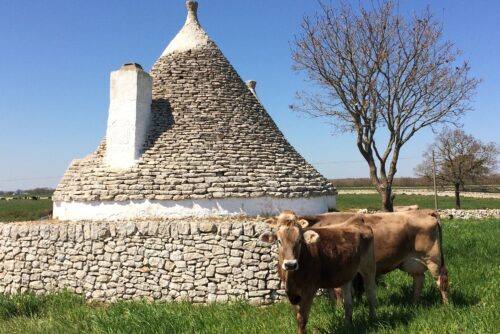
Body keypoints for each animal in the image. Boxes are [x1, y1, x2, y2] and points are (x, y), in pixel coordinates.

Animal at [298, 210, 448, 304]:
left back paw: (446, 305)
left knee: (441, 279)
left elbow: (339, 291)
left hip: (432, 259)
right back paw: (414, 304)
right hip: (412, 262)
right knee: (419, 280)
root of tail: (427, 212)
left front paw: (340, 309)